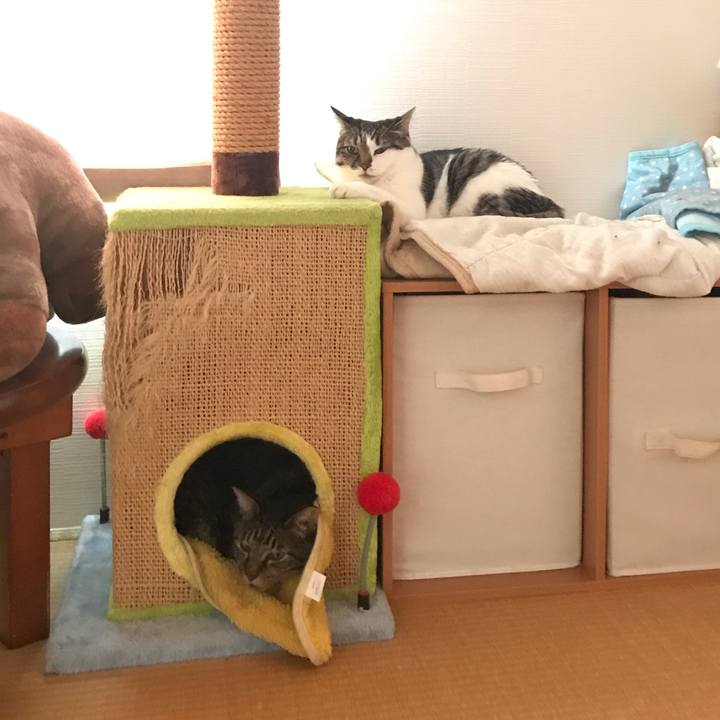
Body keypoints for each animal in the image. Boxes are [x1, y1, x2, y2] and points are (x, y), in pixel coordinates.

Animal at [320, 107, 563, 226]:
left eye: (380, 150)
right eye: (352, 149)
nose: (364, 165)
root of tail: (552, 202)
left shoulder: (412, 209)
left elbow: (375, 191)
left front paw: (344, 188)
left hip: (479, 189)